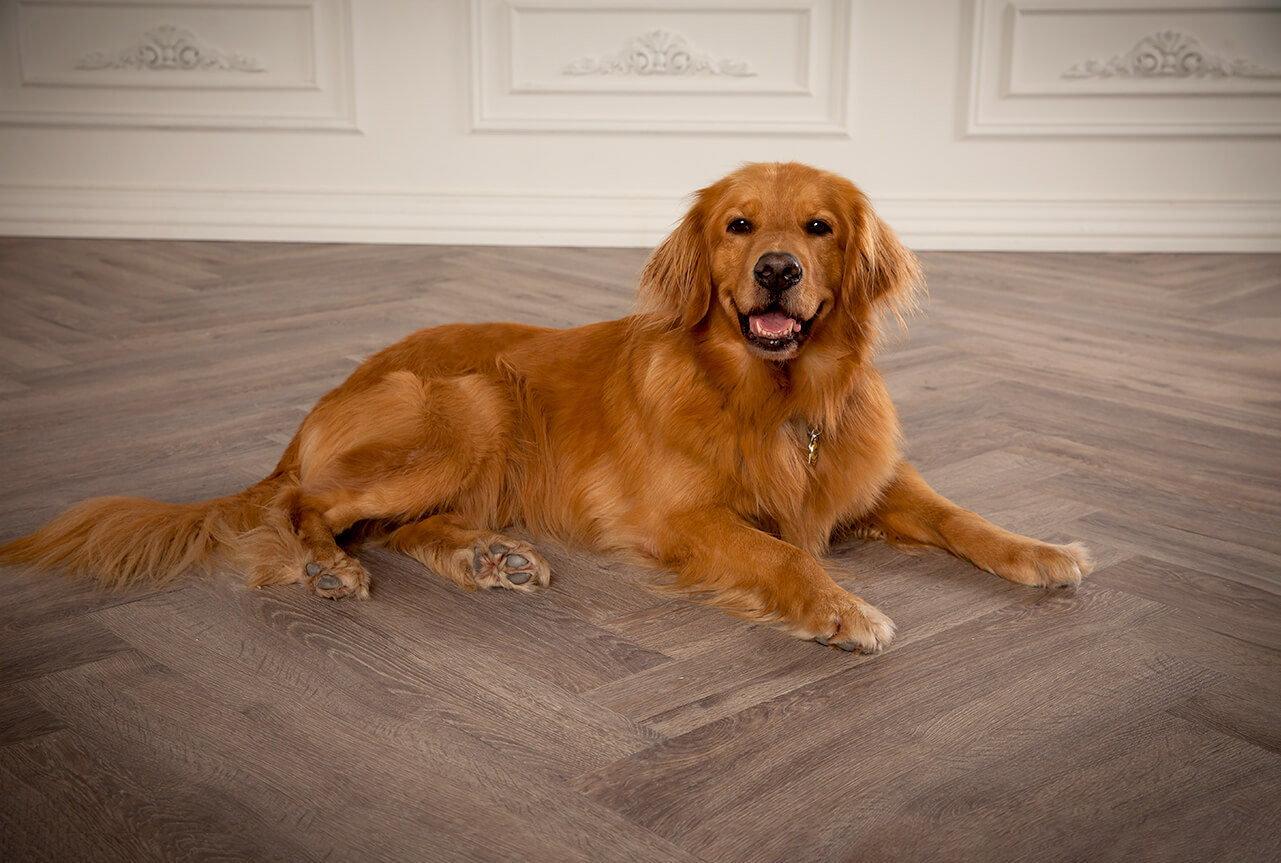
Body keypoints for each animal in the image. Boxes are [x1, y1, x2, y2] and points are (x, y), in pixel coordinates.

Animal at [0, 163, 1091, 653]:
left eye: (818, 227)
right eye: (740, 225)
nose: (778, 270)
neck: (775, 399)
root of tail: (317, 409)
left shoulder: (870, 480)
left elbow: (961, 515)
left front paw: (1041, 550)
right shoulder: (681, 519)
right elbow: (781, 553)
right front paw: (839, 606)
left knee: (396, 525)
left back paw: (490, 557)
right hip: (473, 401)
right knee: (304, 510)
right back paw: (327, 567)